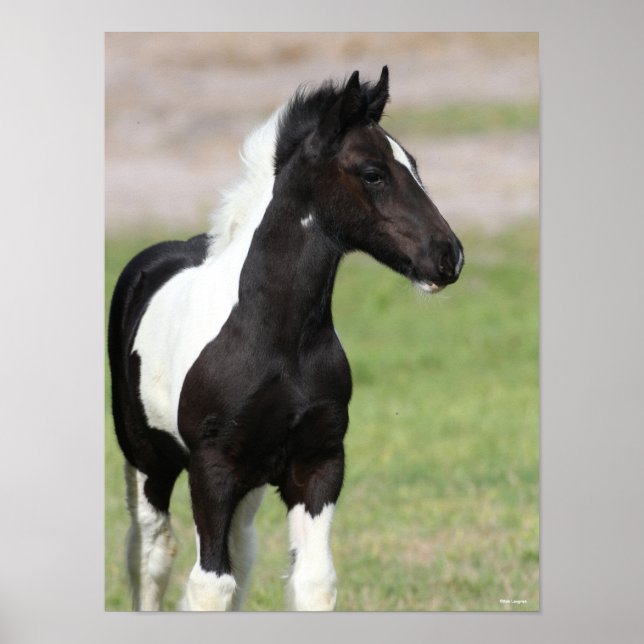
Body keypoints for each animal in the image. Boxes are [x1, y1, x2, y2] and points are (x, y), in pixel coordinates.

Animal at [108, 66, 464, 611]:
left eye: (415, 165)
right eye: (372, 173)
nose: (449, 257)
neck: (276, 340)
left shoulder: (318, 464)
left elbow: (312, 581)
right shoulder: (212, 469)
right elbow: (209, 585)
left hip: (249, 482)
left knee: (240, 553)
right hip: (149, 460)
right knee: (150, 554)